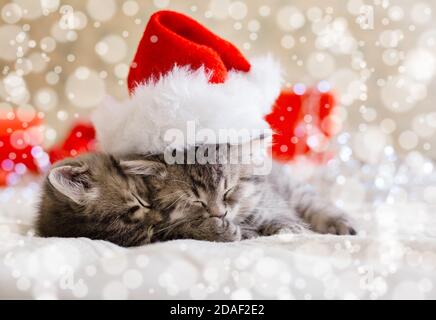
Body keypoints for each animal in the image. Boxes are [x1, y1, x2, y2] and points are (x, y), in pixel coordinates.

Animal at [36, 144, 354, 246]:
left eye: (140, 201)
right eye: (147, 233)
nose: (160, 219)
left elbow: (278, 215)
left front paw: (287, 228)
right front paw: (219, 230)